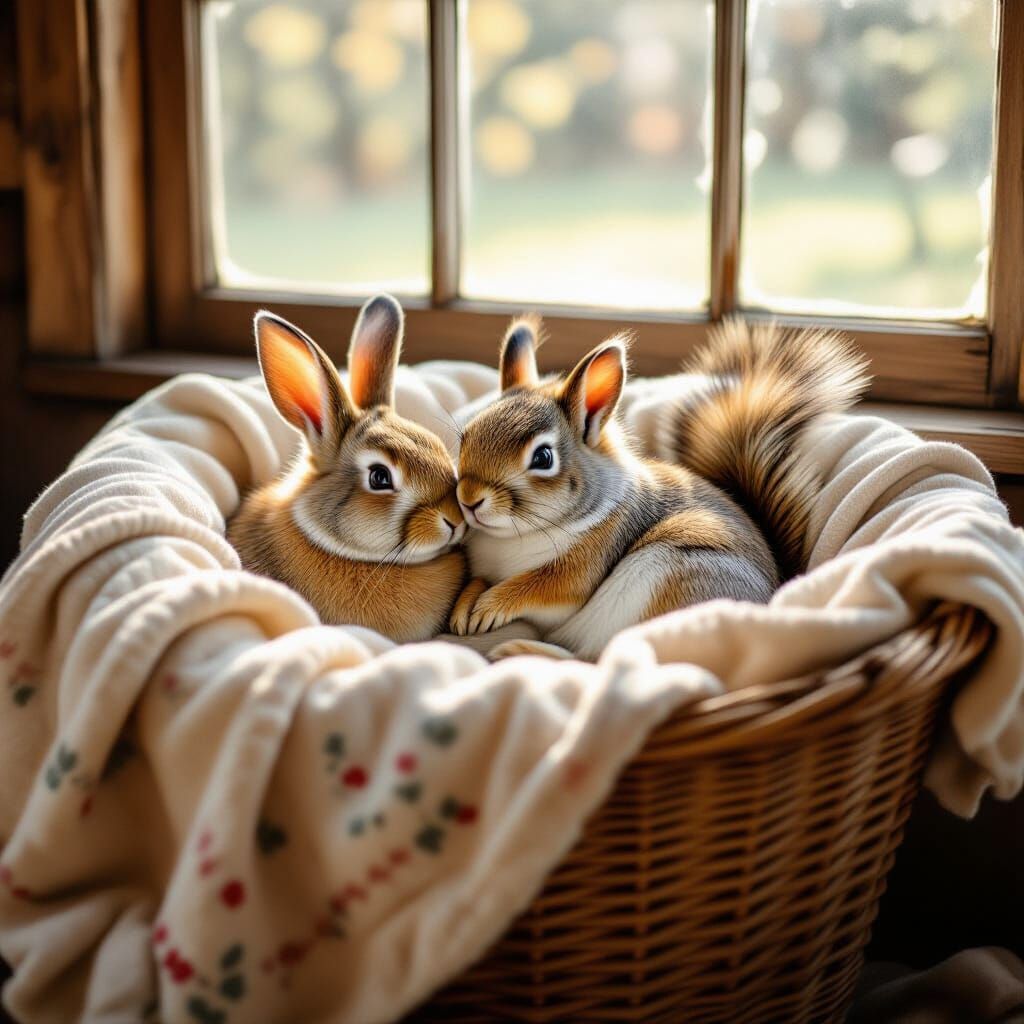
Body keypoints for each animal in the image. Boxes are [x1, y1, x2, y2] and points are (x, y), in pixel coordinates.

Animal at [450, 316, 869, 661]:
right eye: (465, 436)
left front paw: (491, 604)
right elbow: (477, 578)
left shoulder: (588, 562)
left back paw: (522, 650)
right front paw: (464, 605)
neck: (509, 538)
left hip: (673, 580)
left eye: (542, 457)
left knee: (607, 656)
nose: (469, 500)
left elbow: (544, 586)